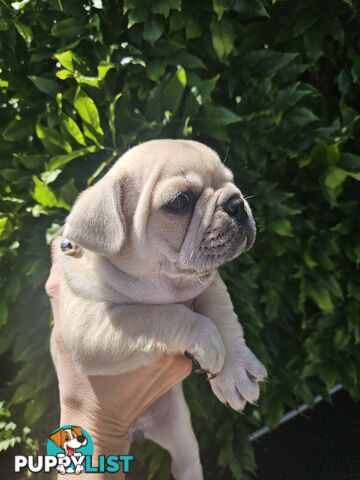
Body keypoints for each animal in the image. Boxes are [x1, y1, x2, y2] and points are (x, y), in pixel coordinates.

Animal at [53, 140, 268, 480]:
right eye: (180, 202)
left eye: (231, 181)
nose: (236, 202)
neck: (165, 282)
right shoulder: (91, 331)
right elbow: (160, 315)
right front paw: (208, 341)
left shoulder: (208, 284)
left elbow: (222, 315)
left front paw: (234, 369)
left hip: (179, 431)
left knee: (186, 461)